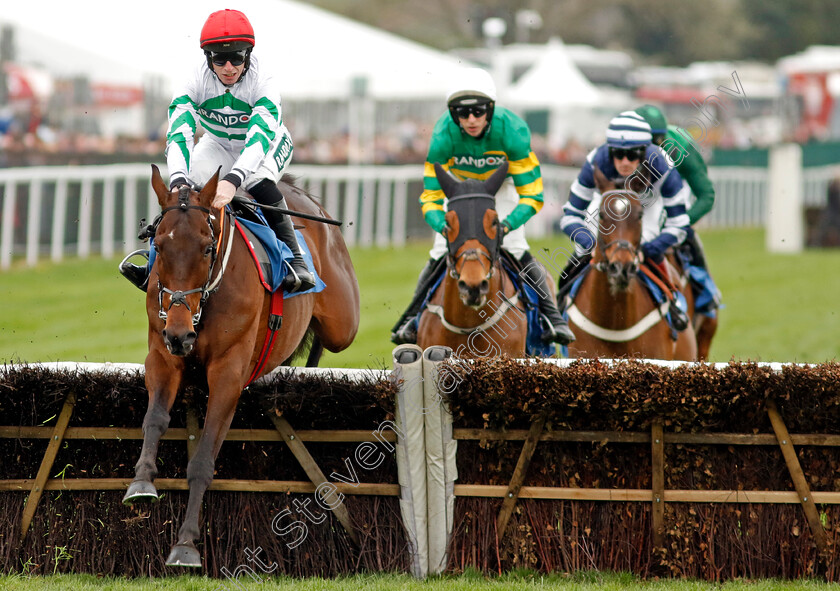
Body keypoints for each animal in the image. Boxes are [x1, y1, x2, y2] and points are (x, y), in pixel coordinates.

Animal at [122, 165, 358, 568]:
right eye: (161, 245)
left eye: (207, 248)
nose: (181, 334)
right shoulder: (163, 354)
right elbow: (154, 419)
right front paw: (141, 481)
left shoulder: (228, 374)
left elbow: (203, 461)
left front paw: (186, 545)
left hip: (344, 322)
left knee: (330, 335)